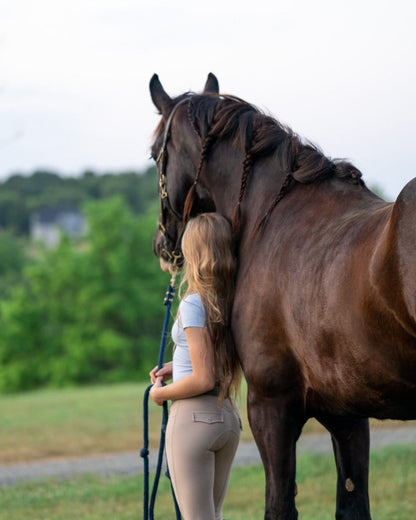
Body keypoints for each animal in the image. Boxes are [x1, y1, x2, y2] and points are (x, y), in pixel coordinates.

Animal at [150, 73, 416, 520]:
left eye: (154, 154)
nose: (162, 244)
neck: (269, 218)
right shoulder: (347, 416)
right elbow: (352, 503)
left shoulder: (270, 407)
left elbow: (279, 505)